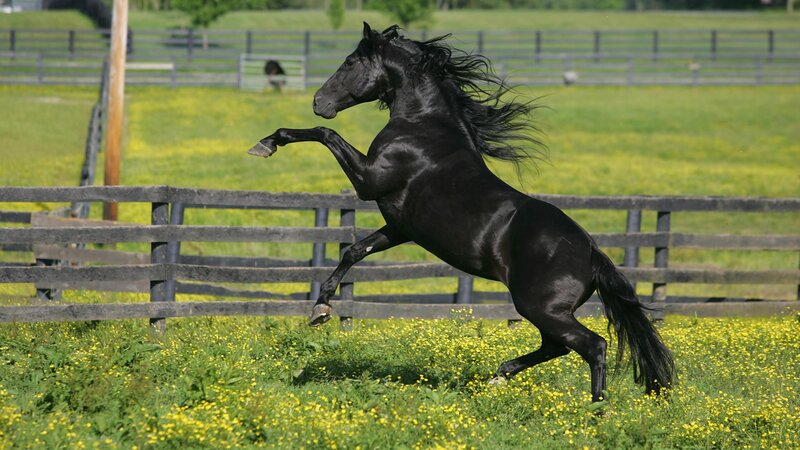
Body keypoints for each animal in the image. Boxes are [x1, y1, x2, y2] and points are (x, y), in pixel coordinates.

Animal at [248, 23, 675, 403]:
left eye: (350, 61)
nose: (319, 102)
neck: (423, 127)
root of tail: (591, 253)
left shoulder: (369, 180)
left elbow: (325, 135)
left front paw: (267, 143)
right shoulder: (400, 227)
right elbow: (354, 251)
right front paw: (320, 308)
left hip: (541, 307)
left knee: (592, 345)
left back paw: (595, 411)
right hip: (545, 311)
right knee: (557, 347)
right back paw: (500, 376)